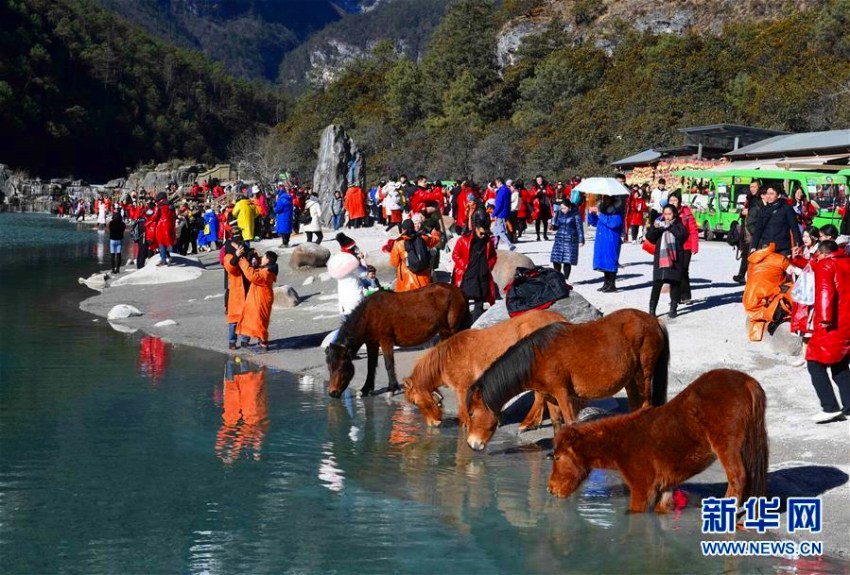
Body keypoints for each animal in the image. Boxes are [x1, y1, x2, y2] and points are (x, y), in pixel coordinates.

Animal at [326, 282, 470, 398]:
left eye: (342, 366)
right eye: (329, 367)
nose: (332, 393)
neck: (369, 314)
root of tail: (458, 290)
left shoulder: (386, 340)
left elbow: (388, 364)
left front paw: (392, 388)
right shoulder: (371, 343)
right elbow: (371, 366)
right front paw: (366, 389)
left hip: (450, 329)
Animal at [402, 310, 568, 428]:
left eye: (415, 402)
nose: (432, 423)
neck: (447, 359)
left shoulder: (463, 389)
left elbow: (464, 416)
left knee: (539, 396)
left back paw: (528, 422)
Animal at [460, 310, 664, 450]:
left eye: (471, 413)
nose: (471, 444)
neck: (537, 357)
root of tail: (653, 320)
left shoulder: (562, 393)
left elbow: (570, 422)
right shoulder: (550, 395)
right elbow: (557, 422)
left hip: (644, 373)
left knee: (646, 405)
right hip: (630, 379)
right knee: (634, 406)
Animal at [548, 372, 764, 516]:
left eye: (557, 458)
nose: (550, 489)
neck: (621, 442)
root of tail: (747, 381)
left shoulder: (642, 489)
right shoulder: (665, 488)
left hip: (726, 445)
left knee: (738, 477)